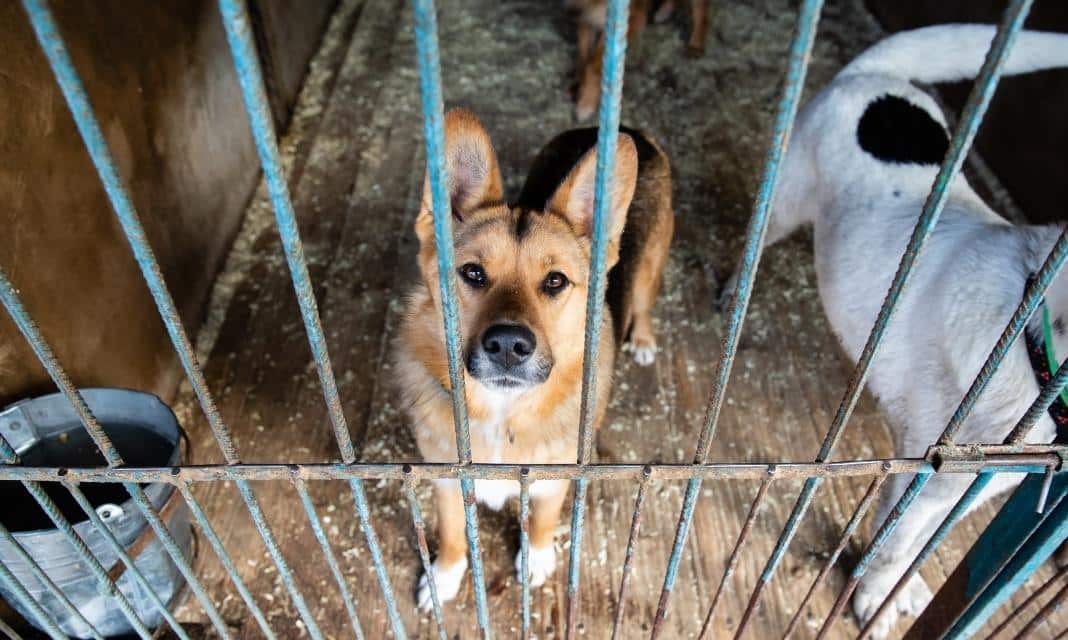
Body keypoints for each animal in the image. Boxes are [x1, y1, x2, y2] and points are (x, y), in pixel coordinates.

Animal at [397, 110, 670, 611]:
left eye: (556, 281)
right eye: (472, 273)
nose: (508, 345)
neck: (502, 413)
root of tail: (629, 129)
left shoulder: (551, 481)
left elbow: (541, 521)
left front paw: (536, 559)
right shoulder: (447, 479)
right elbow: (452, 533)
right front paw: (444, 576)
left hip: (650, 269)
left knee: (643, 303)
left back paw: (642, 339)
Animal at [568, 0, 709, 120]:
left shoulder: (627, 20)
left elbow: (593, 64)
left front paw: (587, 102)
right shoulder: (585, 16)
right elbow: (583, 55)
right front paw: (578, 84)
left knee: (701, 7)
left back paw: (696, 44)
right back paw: (664, 10)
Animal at [721, 25, 1068, 640]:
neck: (1032, 348)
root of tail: (872, 75)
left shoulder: (967, 488)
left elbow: (911, 550)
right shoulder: (926, 476)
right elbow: (891, 548)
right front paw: (874, 599)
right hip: (785, 199)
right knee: (754, 245)